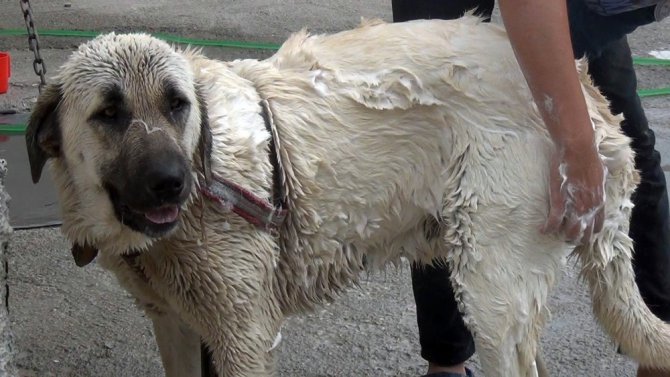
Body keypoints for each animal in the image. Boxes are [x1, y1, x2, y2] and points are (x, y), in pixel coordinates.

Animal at [23, 16, 670, 376]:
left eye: (177, 105)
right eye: (109, 113)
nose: (170, 183)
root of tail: (583, 93)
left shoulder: (244, 337)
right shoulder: (175, 325)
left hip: (492, 288)